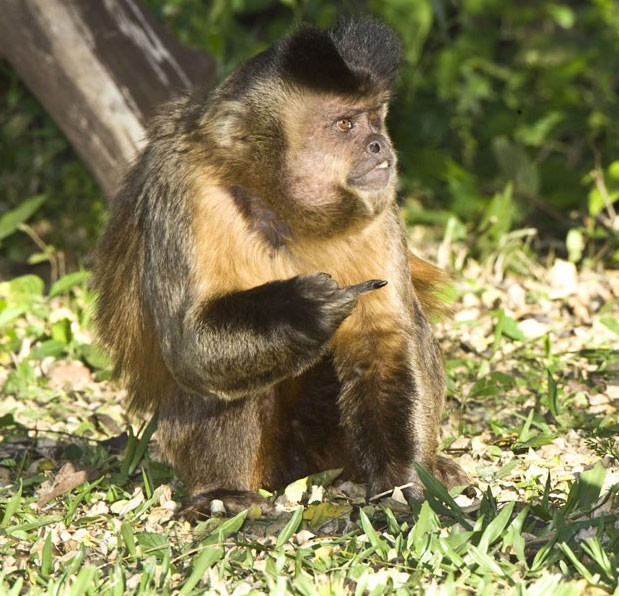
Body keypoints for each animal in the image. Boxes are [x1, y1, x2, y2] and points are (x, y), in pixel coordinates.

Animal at [94, 18, 468, 516]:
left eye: (374, 118)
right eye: (345, 124)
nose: (378, 144)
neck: (277, 202)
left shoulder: (378, 203)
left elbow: (383, 339)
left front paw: (401, 479)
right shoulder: (186, 190)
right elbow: (190, 345)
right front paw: (309, 308)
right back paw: (222, 493)